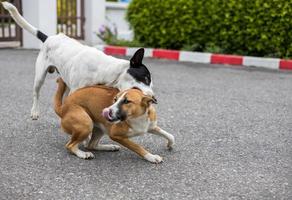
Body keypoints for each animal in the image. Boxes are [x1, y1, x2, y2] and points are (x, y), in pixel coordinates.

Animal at [2, 1, 154, 119]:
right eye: (146, 78)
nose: (153, 98)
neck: (105, 70)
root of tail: (50, 37)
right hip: (40, 76)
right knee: (36, 93)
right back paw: (35, 111)